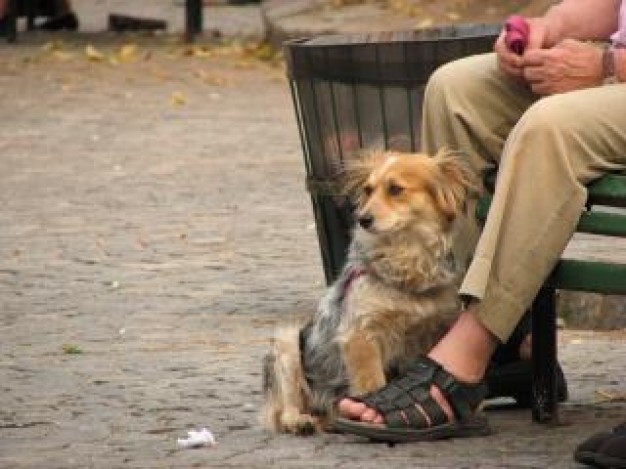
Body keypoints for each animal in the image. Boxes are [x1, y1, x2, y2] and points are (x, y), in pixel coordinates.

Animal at [260, 148, 476, 434]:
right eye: (368, 189)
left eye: (395, 189)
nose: (362, 219)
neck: (406, 263)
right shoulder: (360, 335)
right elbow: (371, 383)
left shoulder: (435, 329)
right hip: (288, 347)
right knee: (285, 407)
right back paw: (300, 420)